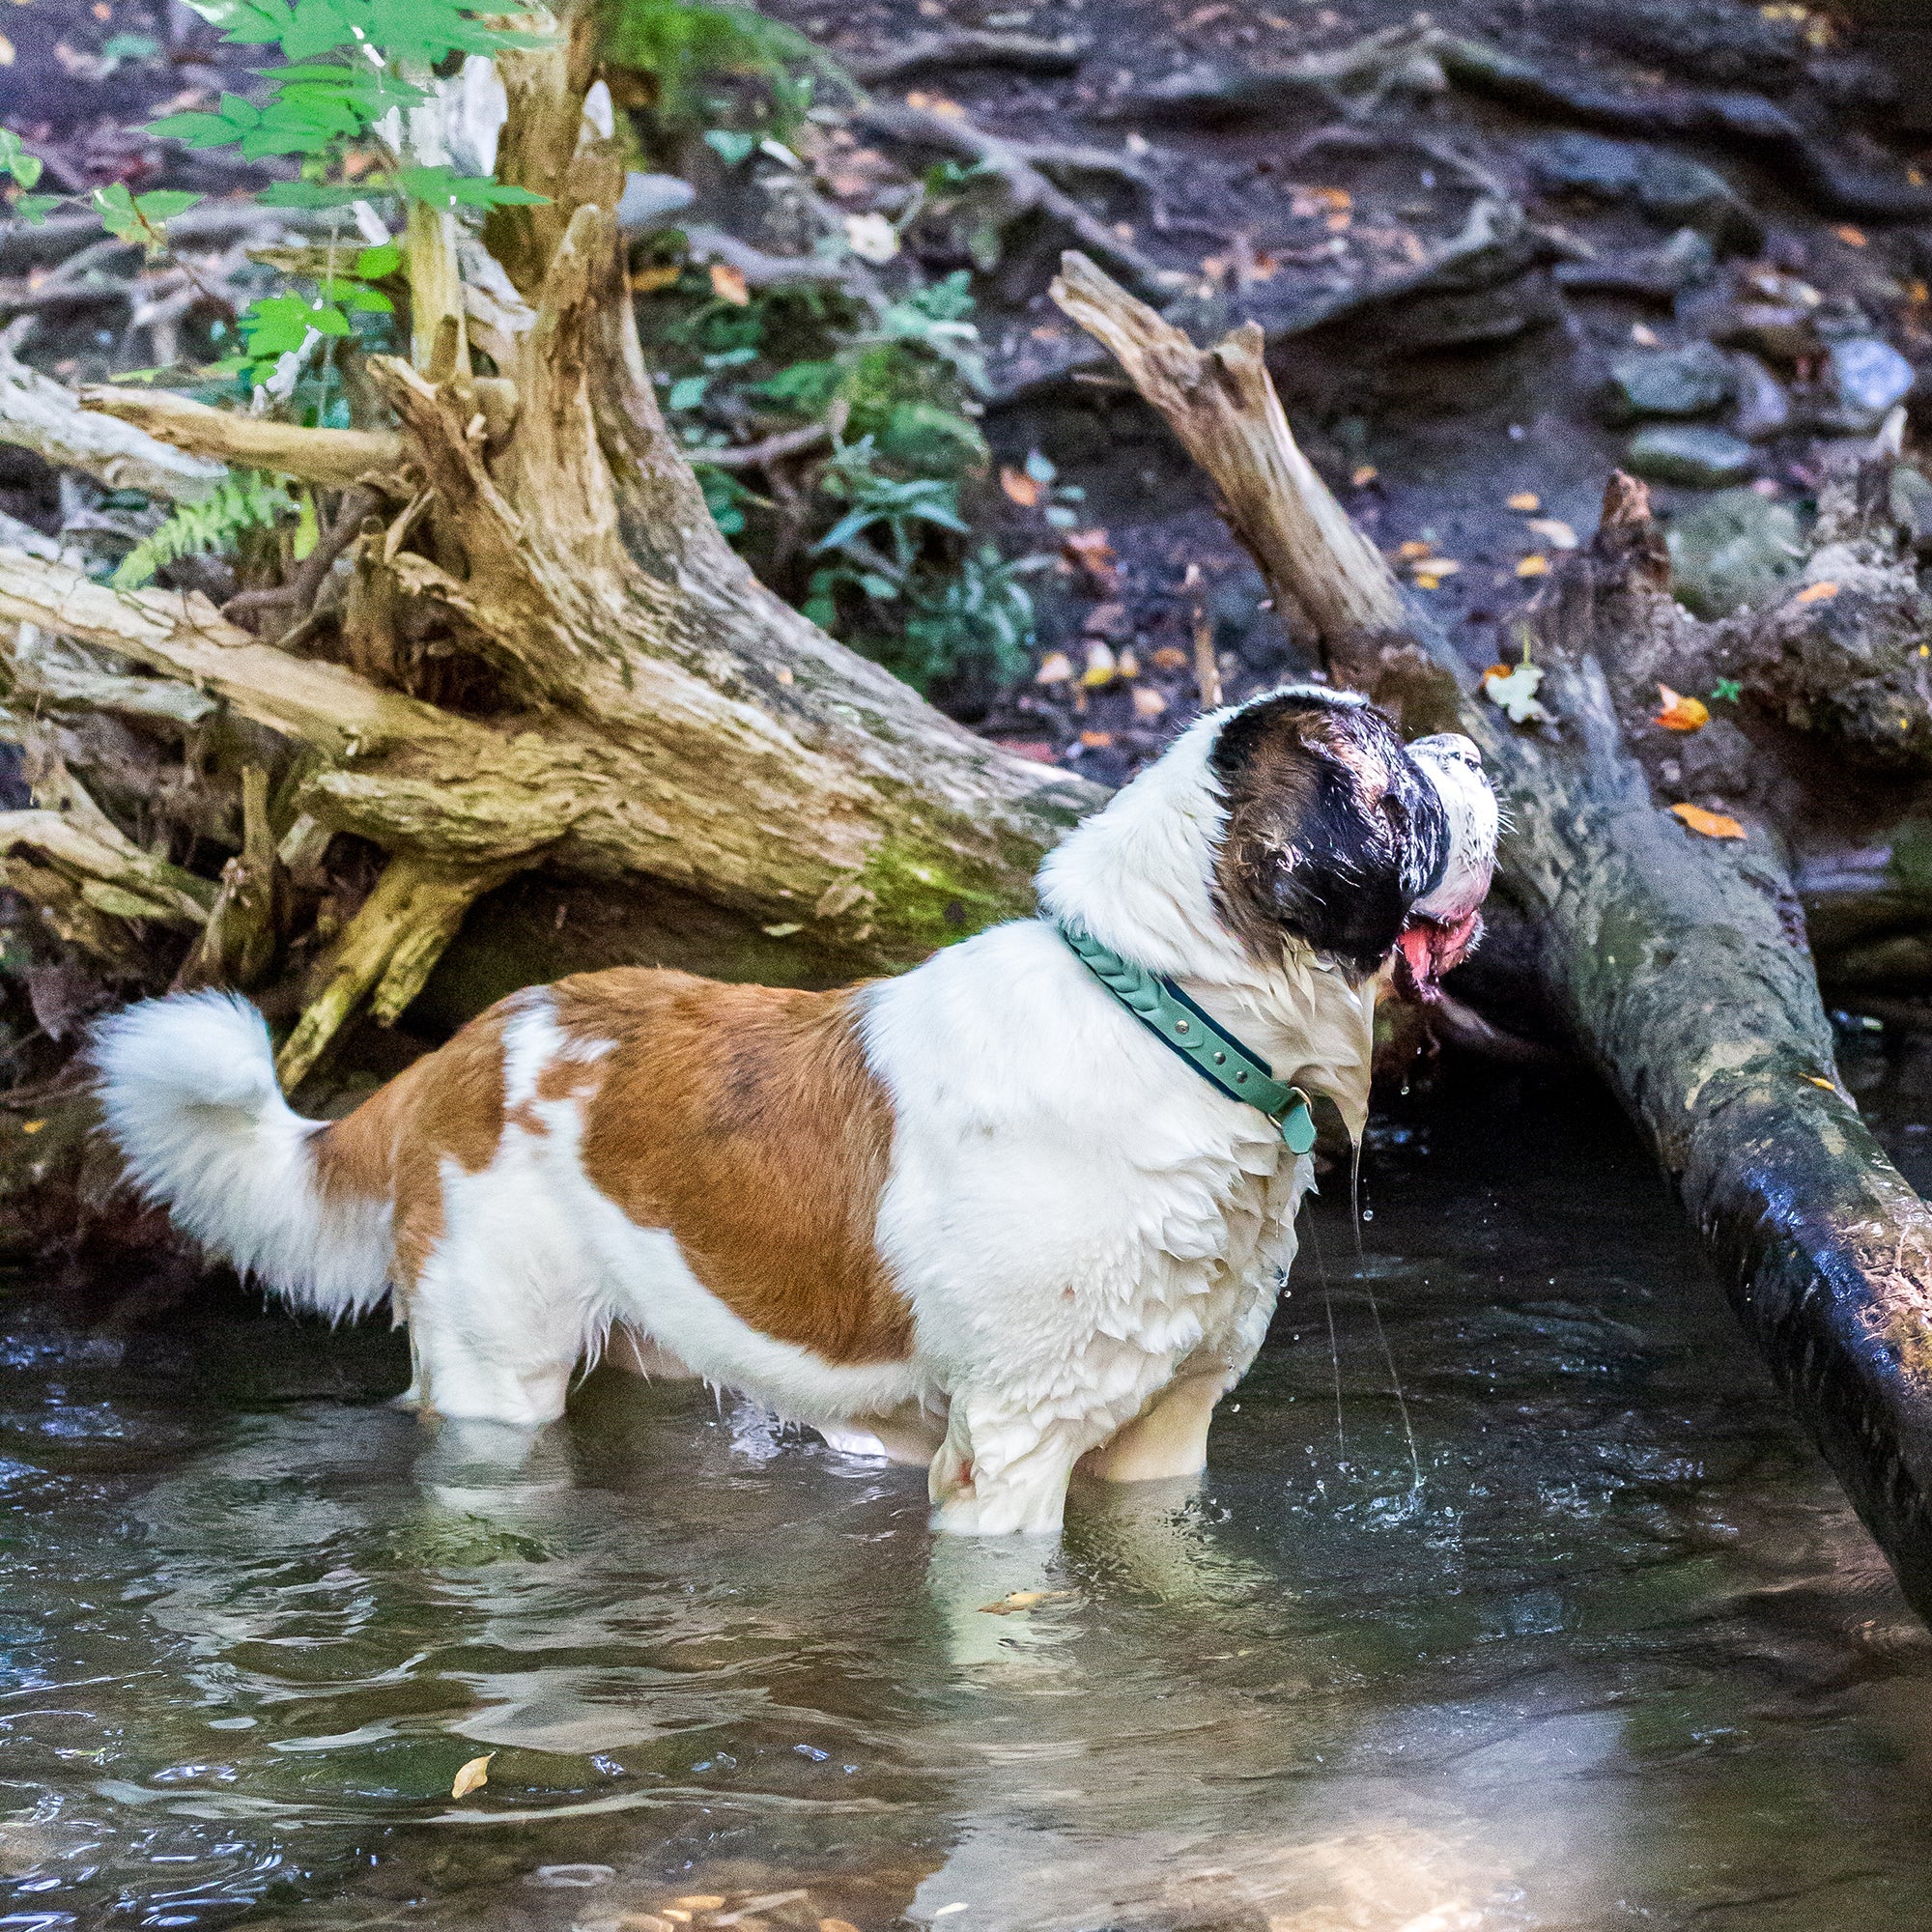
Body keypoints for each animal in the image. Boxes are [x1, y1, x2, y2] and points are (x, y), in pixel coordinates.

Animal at [98, 688, 1499, 1530]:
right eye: (1396, 774)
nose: (1474, 748)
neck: (1168, 1016)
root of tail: (471, 1043)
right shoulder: (1009, 1448)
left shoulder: (1166, 1430)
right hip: (499, 1364)